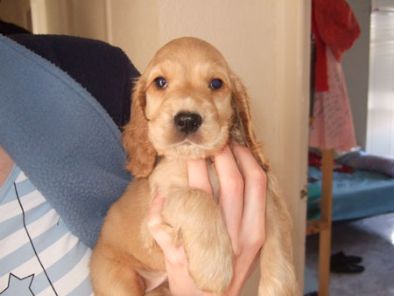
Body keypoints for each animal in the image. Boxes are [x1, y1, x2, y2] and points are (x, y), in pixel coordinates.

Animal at [90, 35, 298, 294]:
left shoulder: (268, 191)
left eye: (216, 83)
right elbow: (199, 198)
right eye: (160, 82)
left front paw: (279, 288)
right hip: (118, 280)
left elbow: (279, 242)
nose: (187, 120)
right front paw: (214, 269)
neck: (205, 160)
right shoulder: (159, 208)